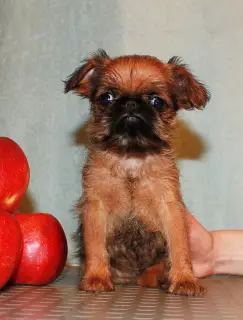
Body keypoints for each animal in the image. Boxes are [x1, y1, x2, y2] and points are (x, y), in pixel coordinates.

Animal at [64, 48, 209, 296]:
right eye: (107, 98)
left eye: (156, 101)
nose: (131, 103)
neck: (131, 156)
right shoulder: (95, 206)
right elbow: (95, 246)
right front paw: (96, 276)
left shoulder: (170, 207)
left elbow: (179, 246)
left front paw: (184, 279)